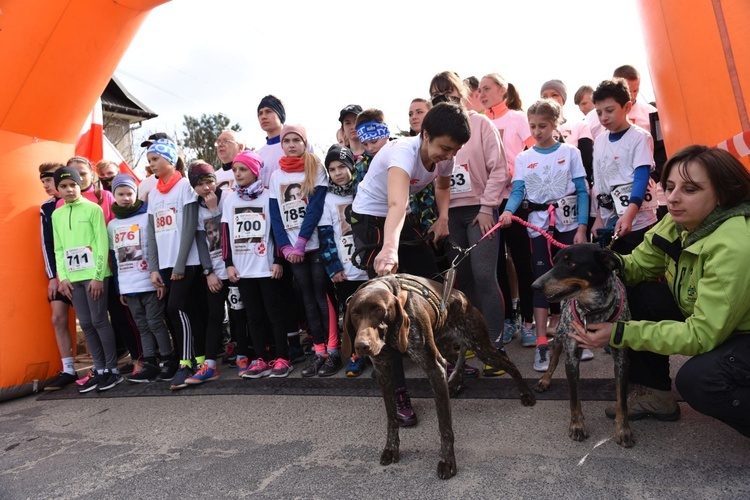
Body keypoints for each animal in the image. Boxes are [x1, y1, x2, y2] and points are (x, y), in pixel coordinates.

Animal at [344, 274, 536, 480]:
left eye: (380, 310)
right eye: (355, 313)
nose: (362, 346)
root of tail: (463, 298)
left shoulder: (433, 367)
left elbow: (444, 426)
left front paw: (447, 461)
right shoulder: (383, 370)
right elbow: (391, 418)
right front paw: (391, 448)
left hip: (481, 348)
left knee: (510, 365)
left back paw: (527, 394)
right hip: (447, 347)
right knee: (458, 363)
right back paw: (455, 384)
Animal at [536, 243, 636, 450]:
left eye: (570, 263)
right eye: (554, 261)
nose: (535, 286)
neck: (594, 311)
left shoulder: (622, 360)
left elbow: (622, 400)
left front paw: (623, 430)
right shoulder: (571, 358)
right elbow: (574, 398)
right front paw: (577, 426)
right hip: (560, 336)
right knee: (554, 358)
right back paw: (545, 380)